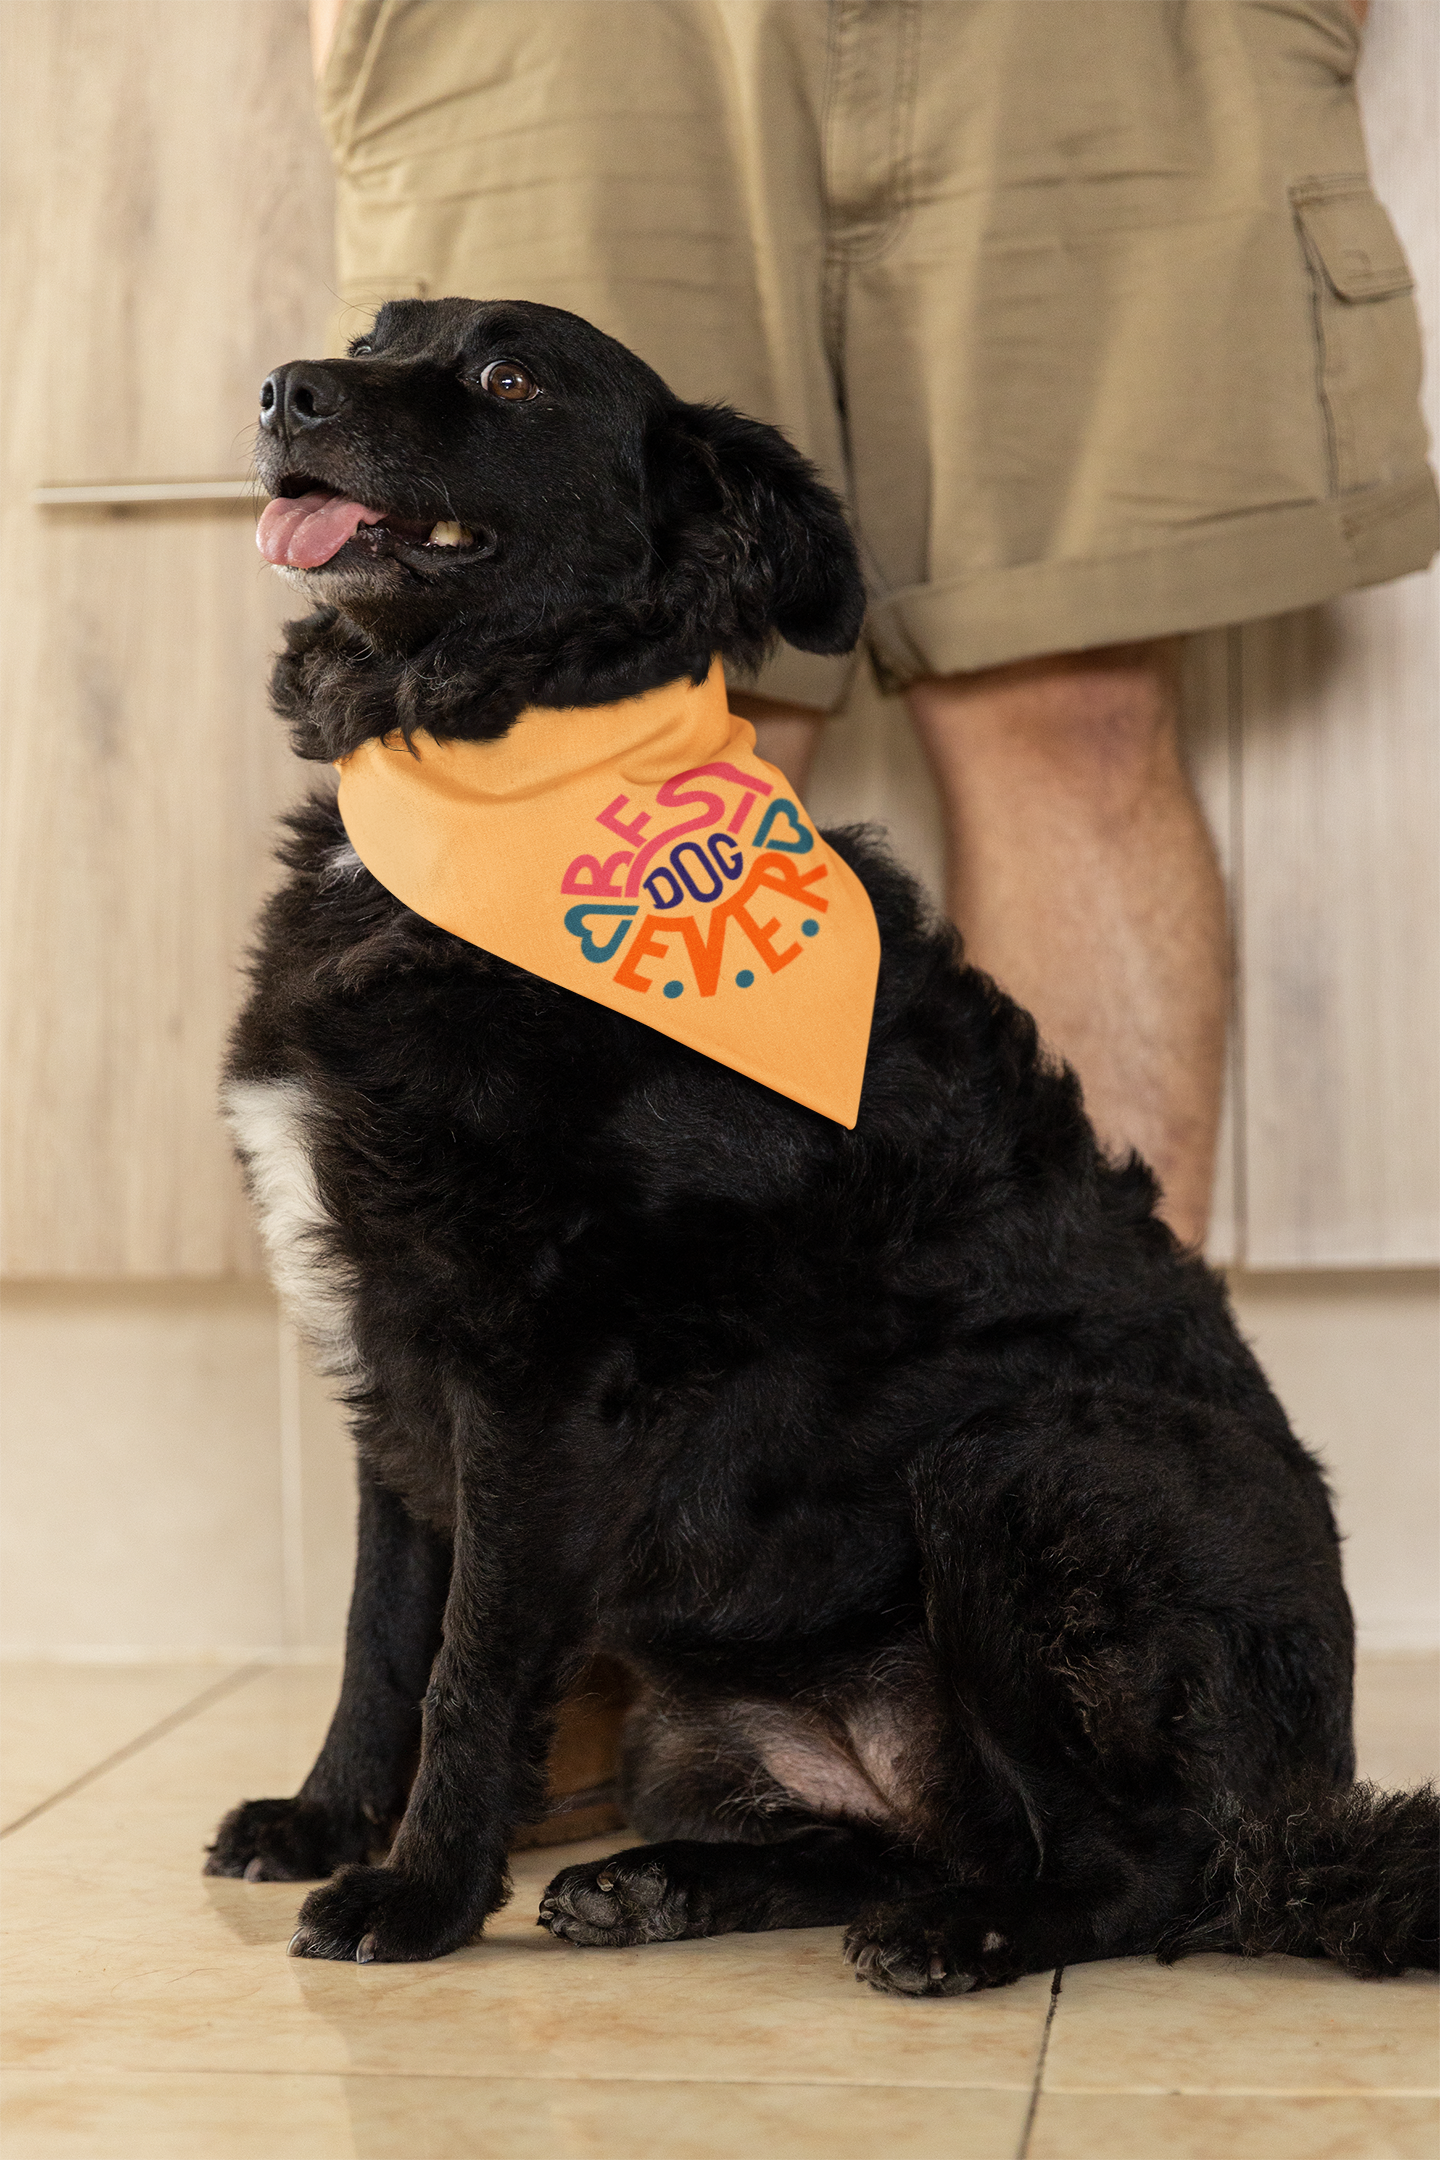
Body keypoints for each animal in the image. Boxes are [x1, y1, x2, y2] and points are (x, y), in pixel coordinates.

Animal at [208, 300, 1440, 1987]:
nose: (281, 391)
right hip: (719, 1713)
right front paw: (326, 1819)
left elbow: (468, 1659)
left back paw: (966, 1935)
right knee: (895, 1837)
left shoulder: (527, 1371)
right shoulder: (390, 1342)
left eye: (506, 377)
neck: (493, 777)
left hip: (1029, 1466)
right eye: (376, 331)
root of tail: (1304, 1811)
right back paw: (664, 1881)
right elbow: (379, 1632)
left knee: (1145, 1870)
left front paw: (417, 1892)